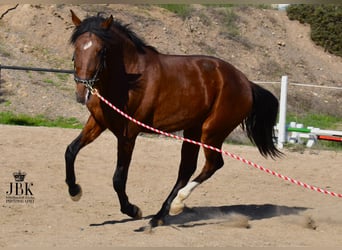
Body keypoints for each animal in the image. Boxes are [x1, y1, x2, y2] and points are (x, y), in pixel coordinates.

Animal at [65, 10, 282, 229]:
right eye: (77, 48)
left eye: (101, 50)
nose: (81, 92)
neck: (129, 81)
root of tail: (246, 83)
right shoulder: (98, 122)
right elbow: (71, 151)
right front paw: (75, 191)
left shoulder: (128, 135)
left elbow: (118, 178)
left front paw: (133, 210)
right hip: (193, 131)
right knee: (186, 170)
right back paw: (159, 216)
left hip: (211, 132)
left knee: (213, 164)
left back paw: (177, 203)